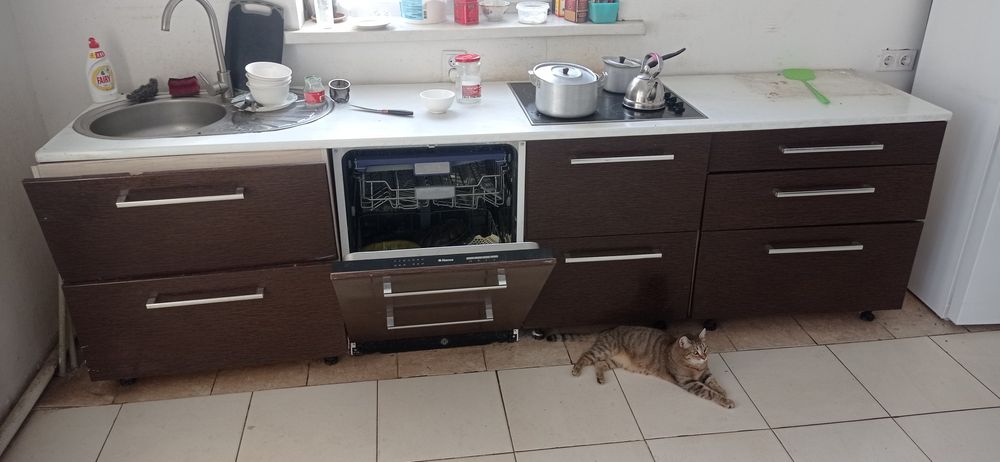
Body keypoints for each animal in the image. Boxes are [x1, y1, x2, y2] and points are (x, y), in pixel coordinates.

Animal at [548, 326, 735, 409]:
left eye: (705, 349)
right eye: (695, 352)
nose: (704, 356)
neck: (696, 368)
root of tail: (607, 329)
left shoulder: (706, 373)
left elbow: (714, 382)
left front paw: (723, 391)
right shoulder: (689, 383)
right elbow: (709, 392)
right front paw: (725, 400)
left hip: (614, 361)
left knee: (599, 365)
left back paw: (600, 377)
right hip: (603, 350)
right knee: (585, 356)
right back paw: (576, 369)